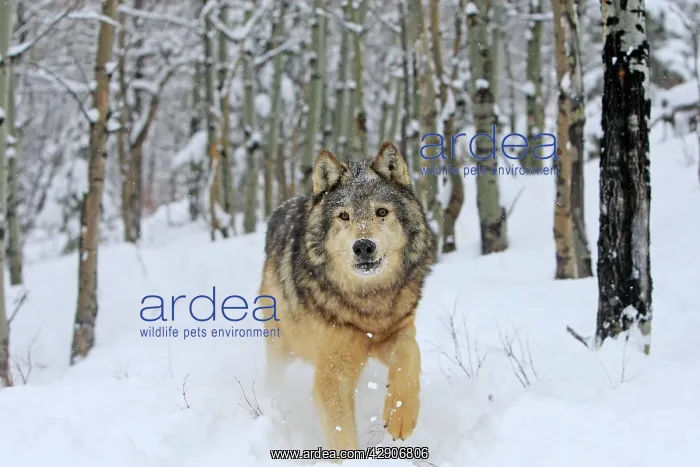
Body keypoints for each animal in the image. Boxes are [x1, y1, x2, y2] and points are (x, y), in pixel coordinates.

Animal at [257, 141, 437, 451]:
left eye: (381, 212)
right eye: (344, 216)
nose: (363, 246)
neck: (368, 304)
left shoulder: (397, 332)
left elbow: (410, 356)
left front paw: (400, 416)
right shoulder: (333, 372)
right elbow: (342, 434)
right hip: (281, 345)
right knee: (273, 377)